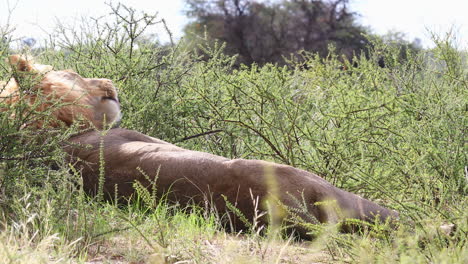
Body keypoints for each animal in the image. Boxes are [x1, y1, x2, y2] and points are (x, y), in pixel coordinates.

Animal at [2, 55, 398, 237]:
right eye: (74, 74)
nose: (109, 81)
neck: (56, 133)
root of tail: (292, 215)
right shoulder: (139, 137)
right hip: (331, 190)